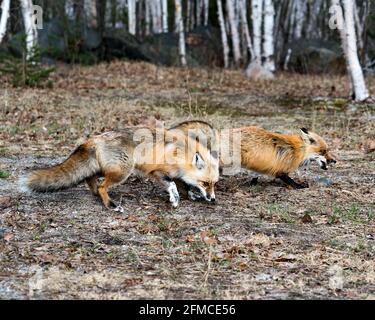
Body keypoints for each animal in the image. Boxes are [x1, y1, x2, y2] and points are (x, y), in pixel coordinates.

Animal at [19, 126, 220, 211]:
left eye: (213, 184)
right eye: (205, 183)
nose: (213, 199)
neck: (182, 153)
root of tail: (95, 138)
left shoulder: (177, 173)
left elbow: (184, 185)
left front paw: (192, 195)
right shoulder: (157, 173)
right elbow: (172, 186)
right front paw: (175, 199)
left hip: (106, 168)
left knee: (89, 178)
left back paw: (96, 195)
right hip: (123, 171)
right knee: (102, 186)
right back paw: (110, 204)